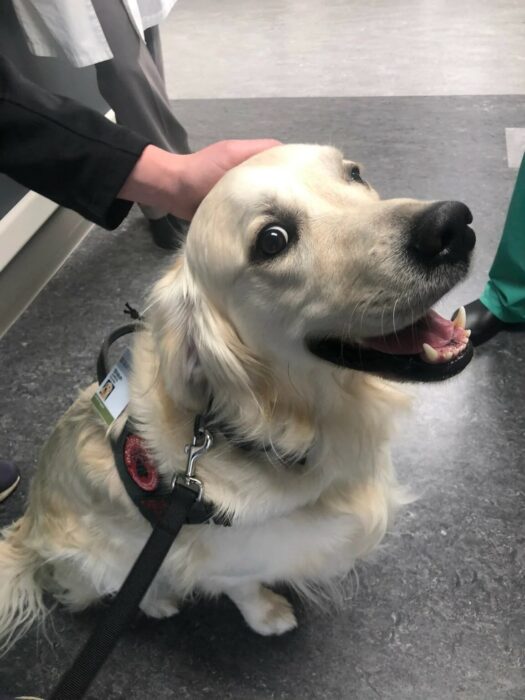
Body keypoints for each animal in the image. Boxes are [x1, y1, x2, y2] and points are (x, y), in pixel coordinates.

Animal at [0, 144, 474, 652]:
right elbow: (242, 589)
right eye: (272, 240)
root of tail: (28, 529)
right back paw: (158, 601)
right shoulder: (219, 559)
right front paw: (267, 615)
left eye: (354, 174)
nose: (451, 225)